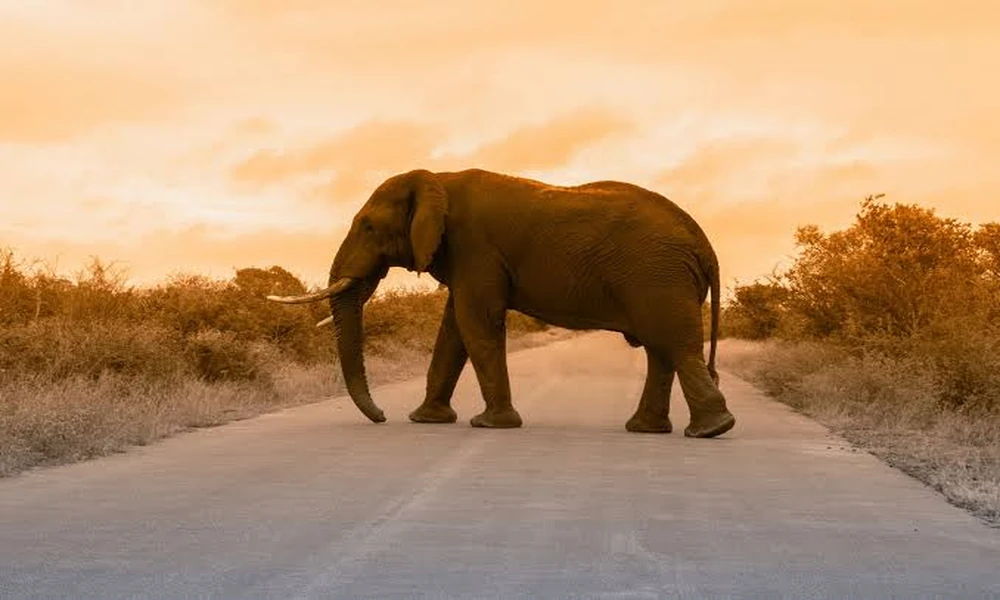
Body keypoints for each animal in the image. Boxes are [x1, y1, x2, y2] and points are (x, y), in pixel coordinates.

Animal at [267, 168, 736, 438]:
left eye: (367, 226)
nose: (381, 416)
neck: (437, 178)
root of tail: (705, 243)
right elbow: (453, 330)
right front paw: (426, 420)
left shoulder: (475, 245)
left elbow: (475, 322)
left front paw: (490, 425)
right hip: (661, 276)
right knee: (662, 351)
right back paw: (649, 430)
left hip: (657, 275)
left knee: (673, 344)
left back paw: (711, 431)